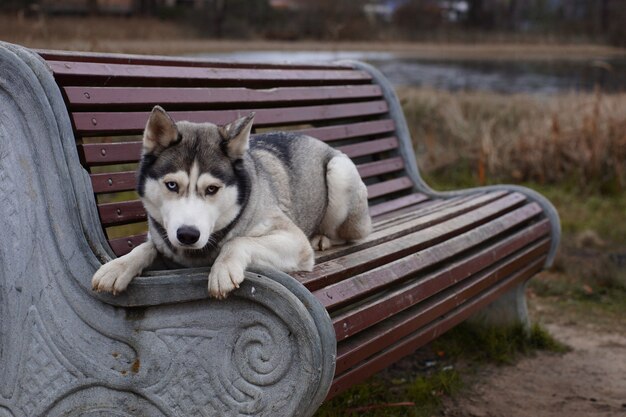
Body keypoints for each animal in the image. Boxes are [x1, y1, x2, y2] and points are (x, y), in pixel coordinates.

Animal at [91, 105, 370, 298]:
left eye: (212, 189)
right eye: (172, 185)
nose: (187, 234)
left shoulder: (292, 240)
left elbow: (238, 240)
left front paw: (222, 268)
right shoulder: (163, 238)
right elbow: (146, 247)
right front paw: (118, 266)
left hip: (339, 171)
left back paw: (322, 237)